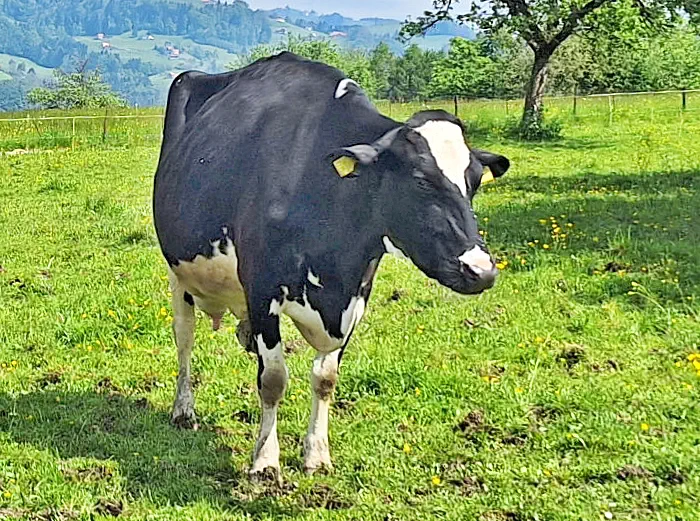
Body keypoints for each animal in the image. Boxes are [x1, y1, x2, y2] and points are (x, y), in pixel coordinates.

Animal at [153, 52, 510, 482]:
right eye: (421, 180)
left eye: (474, 181)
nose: (482, 270)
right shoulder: (262, 289)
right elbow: (273, 379)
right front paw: (265, 460)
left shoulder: (357, 292)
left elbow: (325, 379)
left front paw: (317, 454)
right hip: (178, 276)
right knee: (184, 340)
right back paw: (183, 409)